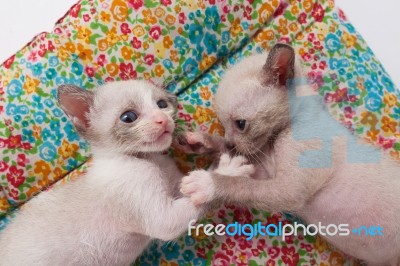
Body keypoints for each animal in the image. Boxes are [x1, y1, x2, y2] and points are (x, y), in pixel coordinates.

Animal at [0, 80, 253, 266]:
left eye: (161, 104)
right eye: (129, 117)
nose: (163, 120)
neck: (148, 159)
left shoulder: (175, 186)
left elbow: (196, 176)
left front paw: (202, 143)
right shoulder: (163, 218)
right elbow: (193, 201)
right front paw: (227, 171)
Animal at [180, 43, 400, 264]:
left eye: (241, 124)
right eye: (223, 126)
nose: (230, 144)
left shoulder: (288, 188)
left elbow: (240, 185)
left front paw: (206, 183)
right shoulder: (265, 170)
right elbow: (237, 168)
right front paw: (201, 141)